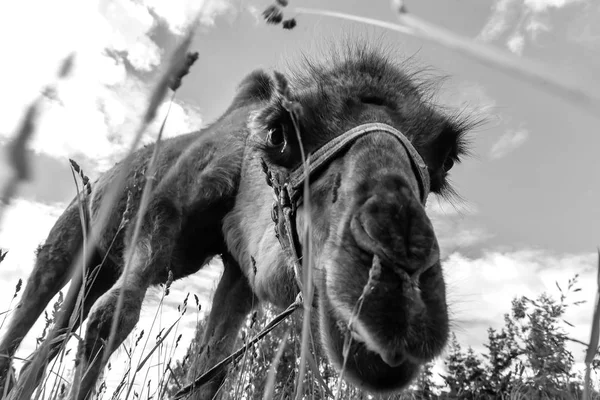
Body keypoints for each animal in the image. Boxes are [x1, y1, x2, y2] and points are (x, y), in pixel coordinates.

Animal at [1, 42, 478, 398]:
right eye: (280, 134)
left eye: (447, 158)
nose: (395, 294)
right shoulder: (158, 217)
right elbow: (113, 317)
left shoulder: (240, 273)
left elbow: (210, 370)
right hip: (72, 237)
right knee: (34, 319)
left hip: (99, 264)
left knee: (55, 335)